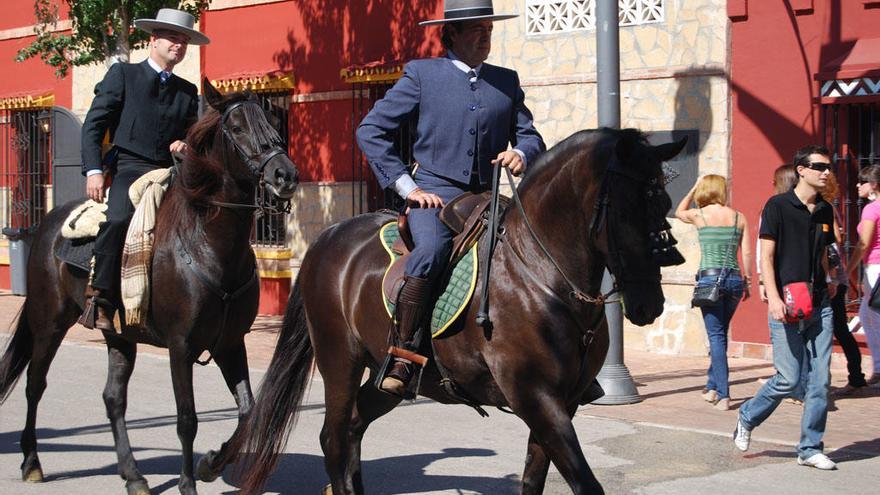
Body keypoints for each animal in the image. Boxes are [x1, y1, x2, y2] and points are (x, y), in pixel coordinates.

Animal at [0, 79, 300, 494]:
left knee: (113, 398)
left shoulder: (229, 342)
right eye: (237, 127)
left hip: (119, 336)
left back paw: (133, 475)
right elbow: (187, 418)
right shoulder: (181, 346)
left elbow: (247, 411)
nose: (285, 175)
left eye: (274, 121)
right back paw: (31, 461)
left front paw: (211, 463)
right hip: (49, 322)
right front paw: (188, 482)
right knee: (35, 384)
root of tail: (50, 222)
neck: (209, 244)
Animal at [230, 129, 684, 495]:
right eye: (626, 209)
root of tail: (329, 236)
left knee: (355, 426)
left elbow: (534, 480)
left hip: (385, 378)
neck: (540, 272)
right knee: (335, 438)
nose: (650, 303)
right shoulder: (536, 397)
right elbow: (586, 483)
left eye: (664, 202)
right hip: (340, 359)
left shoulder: (562, 403)